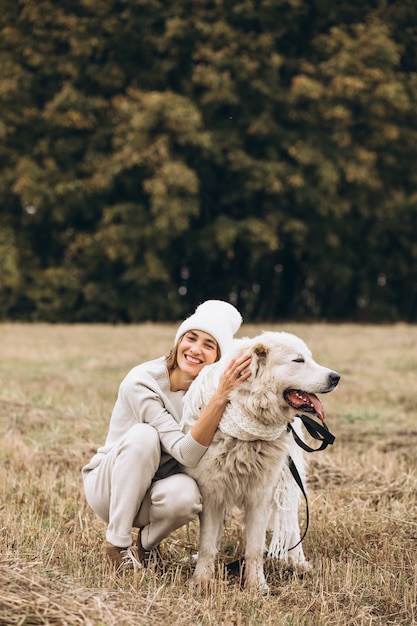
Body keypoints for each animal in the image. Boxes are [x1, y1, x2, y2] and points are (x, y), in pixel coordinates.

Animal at [180, 332, 340, 588]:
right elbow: (207, 544)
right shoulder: (211, 493)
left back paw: (299, 562)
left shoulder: (260, 494)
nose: (336, 377)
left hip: (286, 481)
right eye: (298, 360)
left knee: (291, 526)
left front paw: (256, 585)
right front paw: (202, 580)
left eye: (309, 358)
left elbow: (254, 548)